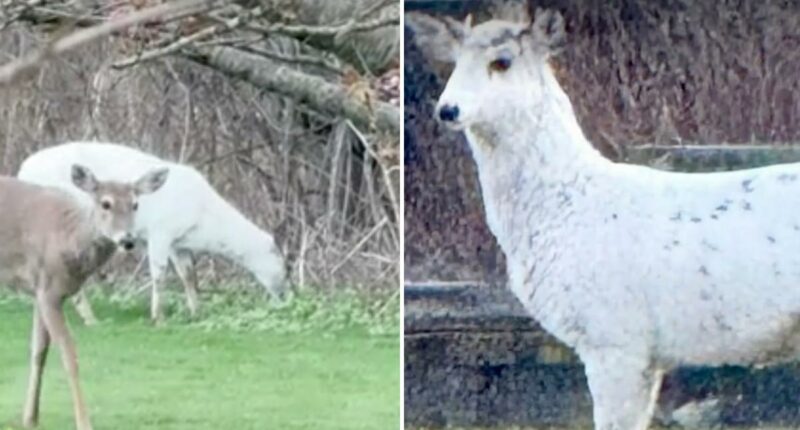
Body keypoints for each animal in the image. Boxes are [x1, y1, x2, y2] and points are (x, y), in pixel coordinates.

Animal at [2, 164, 168, 430]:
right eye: (106, 203)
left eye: (135, 204)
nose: (127, 240)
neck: (68, 238)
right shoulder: (48, 290)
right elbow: (69, 355)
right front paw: (83, 422)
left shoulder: (39, 290)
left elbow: (38, 351)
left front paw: (30, 417)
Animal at [18, 141, 287, 324]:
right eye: (283, 264)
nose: (286, 294)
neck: (203, 222)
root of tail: (22, 171)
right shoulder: (160, 231)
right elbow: (159, 274)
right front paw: (158, 317)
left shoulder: (179, 243)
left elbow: (188, 276)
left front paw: (196, 312)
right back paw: (89, 318)